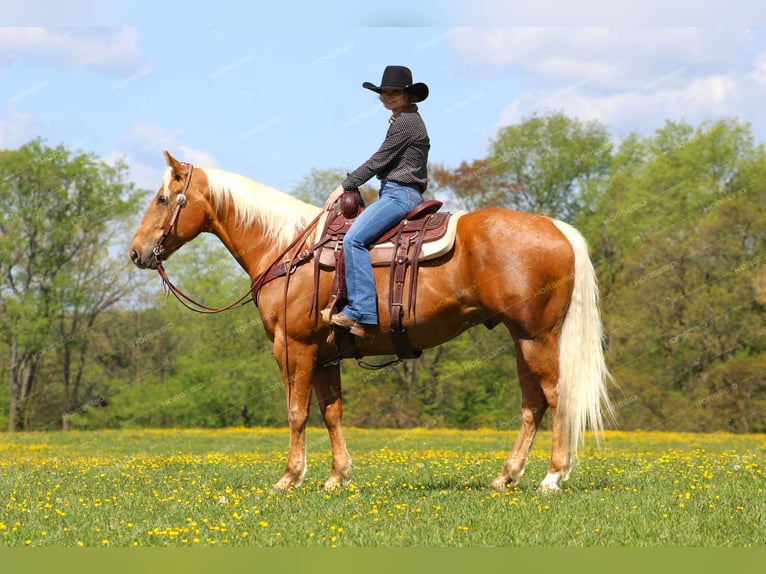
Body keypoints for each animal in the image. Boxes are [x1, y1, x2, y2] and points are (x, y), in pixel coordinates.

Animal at [129, 153, 616, 496]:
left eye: (162, 199)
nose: (136, 252)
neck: (290, 249)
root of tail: (557, 228)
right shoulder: (325, 355)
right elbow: (331, 411)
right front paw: (337, 476)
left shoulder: (294, 346)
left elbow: (296, 411)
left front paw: (290, 477)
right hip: (522, 339)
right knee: (533, 403)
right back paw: (506, 476)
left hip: (536, 338)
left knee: (557, 396)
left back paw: (553, 477)